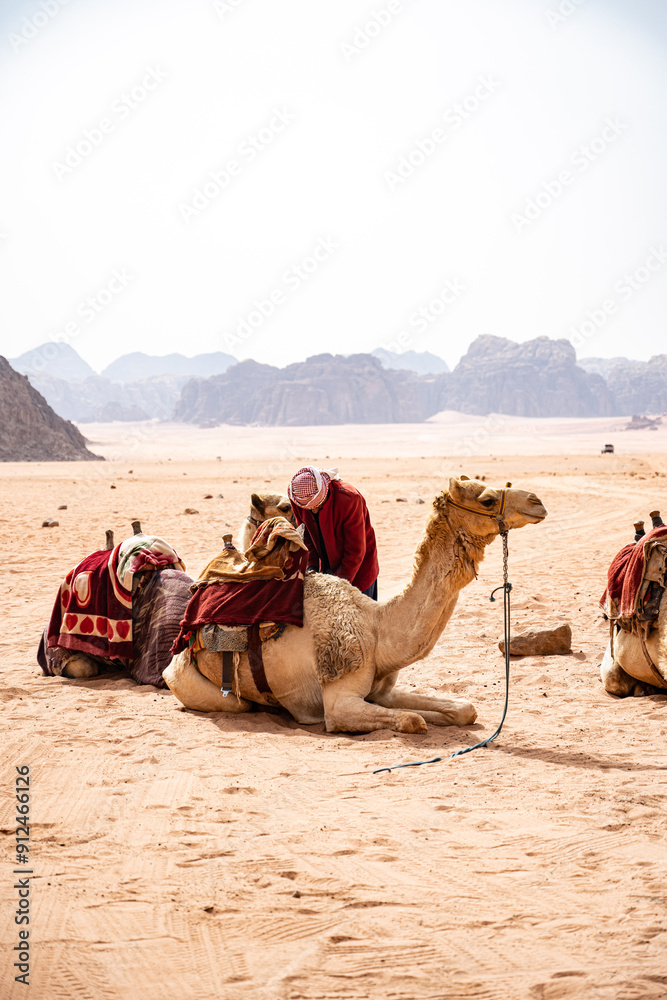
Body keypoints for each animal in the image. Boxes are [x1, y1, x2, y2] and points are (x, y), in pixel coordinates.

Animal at [163, 477, 547, 733]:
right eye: (487, 499)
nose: (537, 501)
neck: (377, 628)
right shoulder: (339, 702)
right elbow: (413, 721)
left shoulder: (383, 690)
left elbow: (464, 709)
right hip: (193, 684)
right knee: (237, 702)